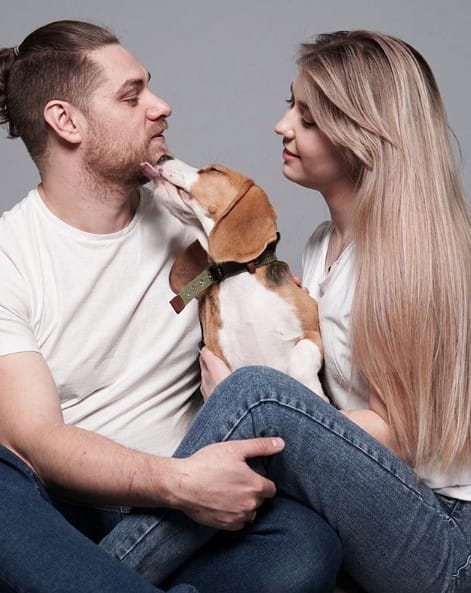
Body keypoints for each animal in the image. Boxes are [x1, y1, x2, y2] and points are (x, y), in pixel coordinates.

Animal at [140, 157, 326, 398]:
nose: (163, 157)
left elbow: (301, 355)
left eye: (214, 170)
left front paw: (314, 390)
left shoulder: (313, 331)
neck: (240, 277)